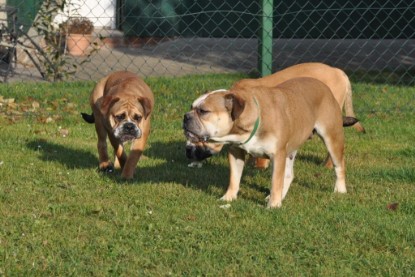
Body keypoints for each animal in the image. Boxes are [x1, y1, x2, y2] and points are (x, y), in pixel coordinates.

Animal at [184, 77, 360, 207]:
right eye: (191, 107)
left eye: (203, 111)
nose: (186, 116)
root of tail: (325, 88)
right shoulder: (236, 153)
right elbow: (234, 178)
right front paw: (228, 198)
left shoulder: (277, 155)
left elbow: (275, 181)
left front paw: (274, 206)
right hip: (290, 150)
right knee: (288, 175)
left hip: (332, 137)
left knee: (339, 165)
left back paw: (340, 190)